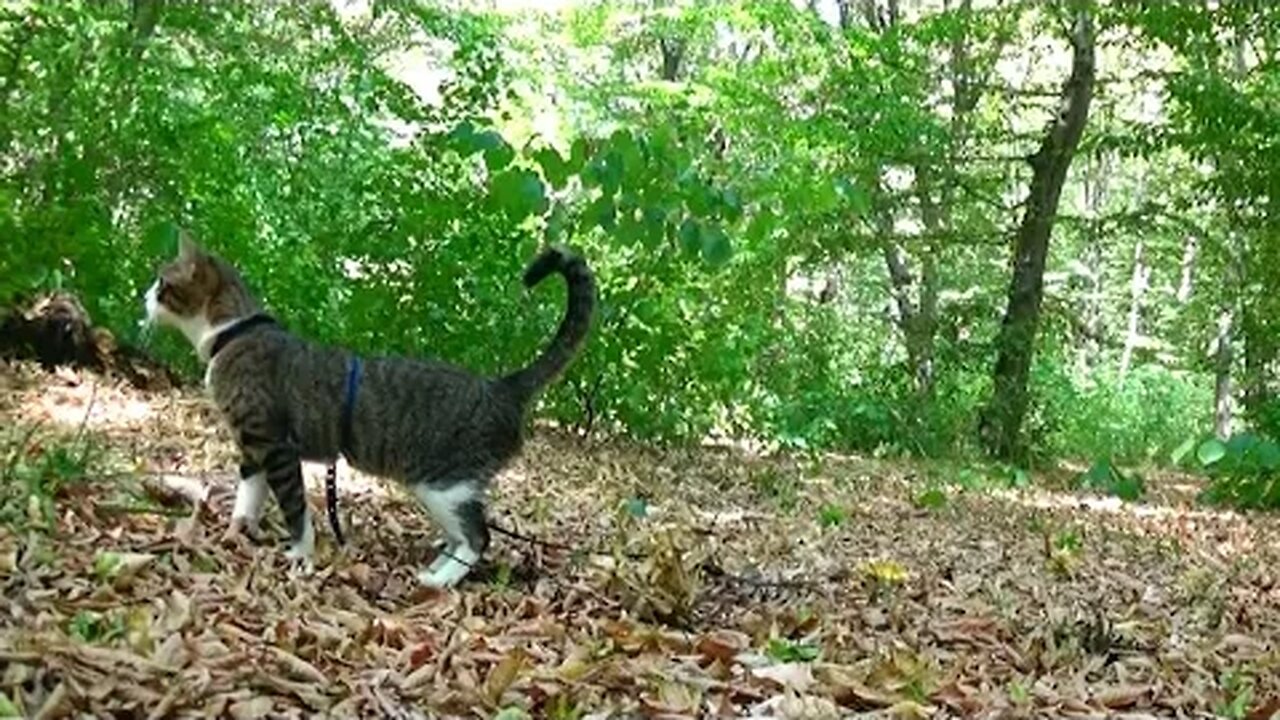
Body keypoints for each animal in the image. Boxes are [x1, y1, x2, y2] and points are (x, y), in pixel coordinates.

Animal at [144, 233, 593, 586]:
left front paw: (299, 554)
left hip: (443, 483)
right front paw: (239, 530)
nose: (144, 296)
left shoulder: (275, 443)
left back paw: (439, 579)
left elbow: (294, 507)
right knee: (463, 534)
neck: (233, 334)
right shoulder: (252, 444)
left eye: (162, 282)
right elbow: (249, 492)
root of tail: (503, 386)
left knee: (478, 538)